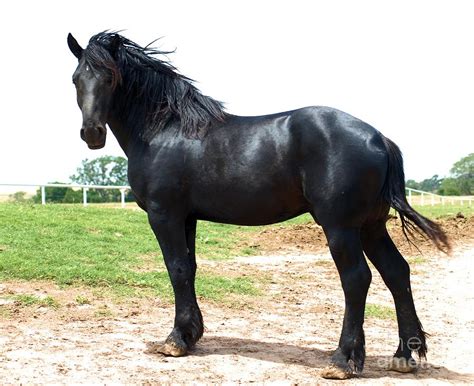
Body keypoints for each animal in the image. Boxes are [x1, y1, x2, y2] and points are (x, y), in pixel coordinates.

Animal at [68, 31, 450, 378]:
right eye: (76, 79)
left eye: (109, 77)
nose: (92, 133)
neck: (165, 130)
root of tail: (378, 138)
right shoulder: (187, 218)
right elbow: (189, 269)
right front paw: (191, 335)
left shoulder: (165, 215)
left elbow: (176, 269)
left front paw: (175, 340)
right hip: (371, 227)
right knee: (396, 272)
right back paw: (404, 355)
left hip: (341, 227)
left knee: (357, 279)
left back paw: (342, 360)